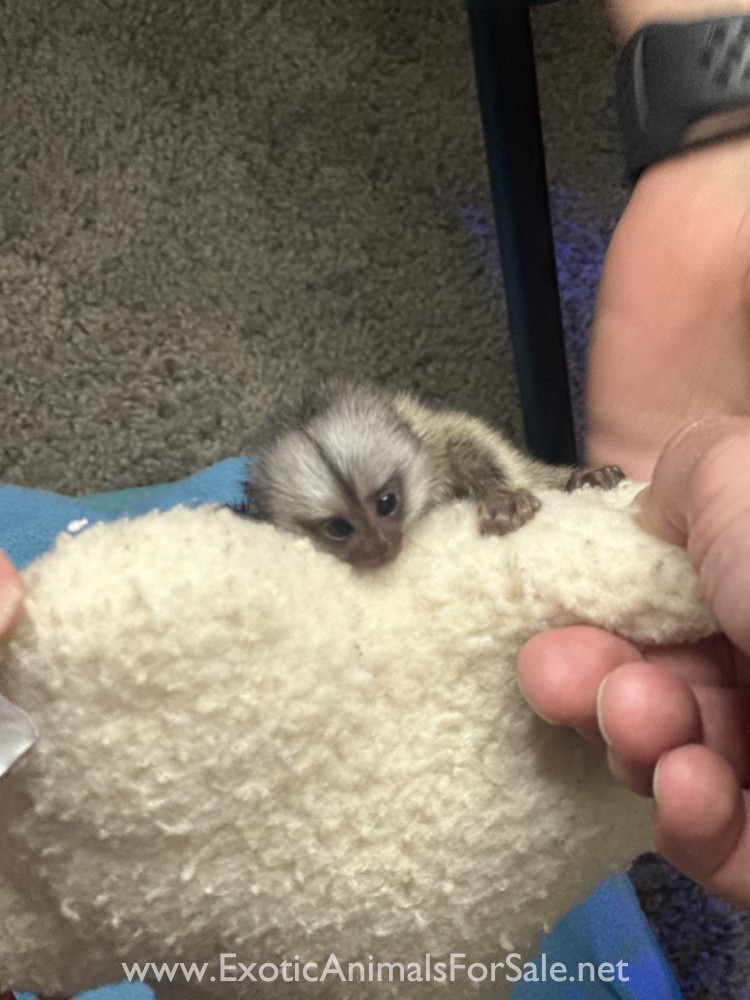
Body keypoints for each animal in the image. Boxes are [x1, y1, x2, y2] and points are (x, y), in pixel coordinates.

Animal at [241, 379, 624, 569]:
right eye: (338, 528)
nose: (379, 546)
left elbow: (469, 438)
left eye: (386, 503)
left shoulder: (433, 435)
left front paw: (503, 499)